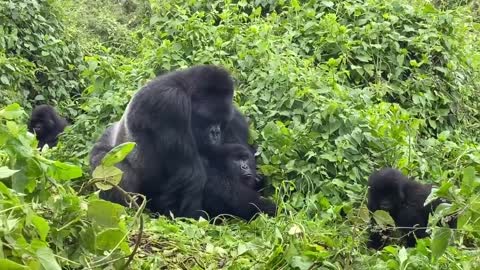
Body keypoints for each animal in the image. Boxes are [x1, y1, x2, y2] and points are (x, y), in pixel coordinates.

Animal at [90, 65, 236, 219]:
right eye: (208, 119)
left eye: (222, 121)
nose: (216, 133)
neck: (185, 88)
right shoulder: (171, 103)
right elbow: (191, 175)